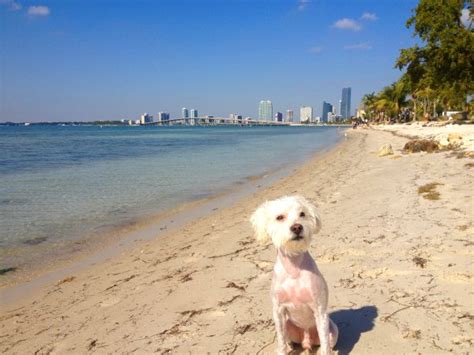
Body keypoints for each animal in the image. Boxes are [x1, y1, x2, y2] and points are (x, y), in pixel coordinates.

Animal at [252, 196, 336, 354]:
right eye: (279, 217)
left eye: (302, 214)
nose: (297, 227)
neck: (294, 267)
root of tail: (306, 339)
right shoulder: (278, 311)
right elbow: (280, 340)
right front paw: (282, 350)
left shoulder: (319, 310)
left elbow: (324, 342)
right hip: (289, 326)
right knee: (287, 339)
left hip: (333, 331)